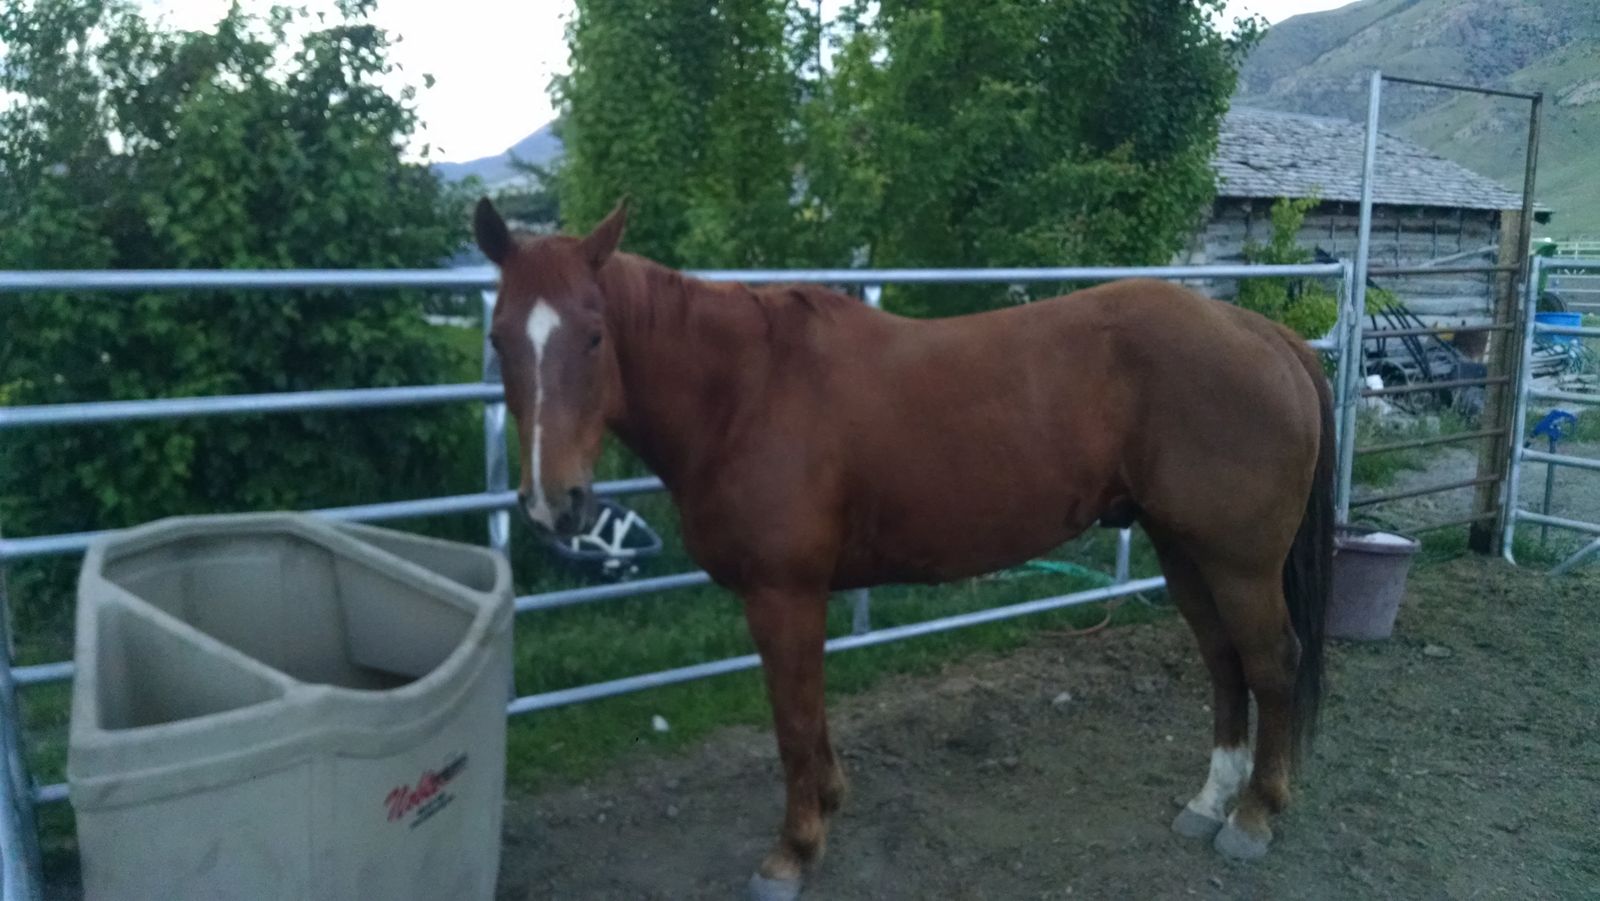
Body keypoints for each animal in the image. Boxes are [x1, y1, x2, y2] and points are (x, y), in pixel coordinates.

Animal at [472, 197, 1333, 900]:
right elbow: (809, 711)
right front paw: (828, 803)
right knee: (1223, 661)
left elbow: (792, 718)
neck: (745, 391)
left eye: (594, 335)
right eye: (499, 337)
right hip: (1185, 550)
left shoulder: (781, 593)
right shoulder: (797, 597)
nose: (553, 502)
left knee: (1270, 662)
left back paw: (1254, 815)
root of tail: (1265, 333)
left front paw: (793, 850)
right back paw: (1210, 800)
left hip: (1240, 562)